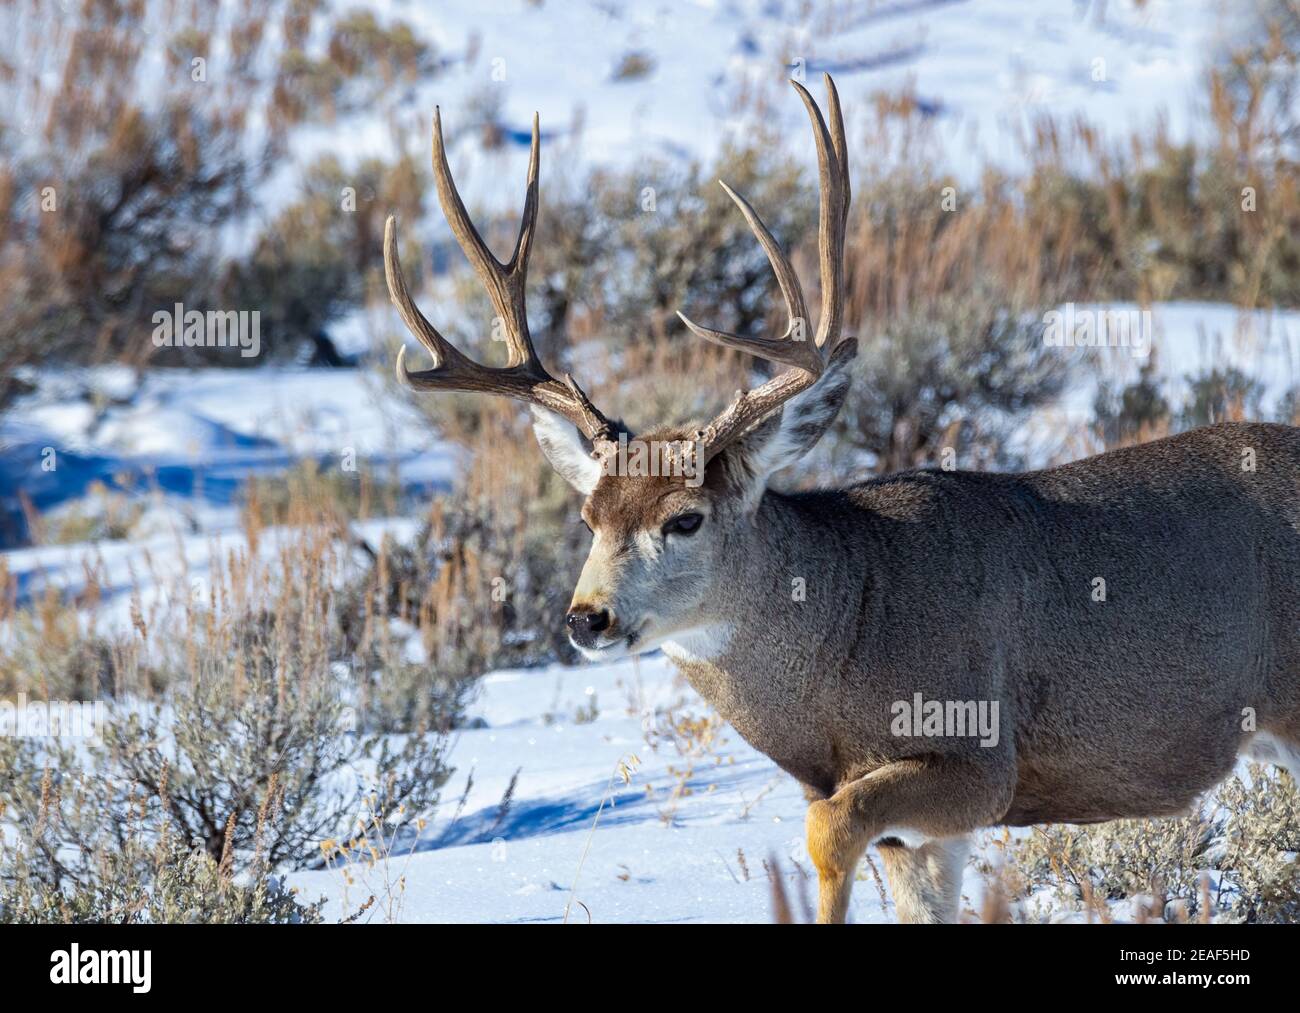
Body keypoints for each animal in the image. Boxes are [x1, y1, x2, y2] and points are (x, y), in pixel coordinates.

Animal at [384, 76, 1300, 923]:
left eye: (686, 517)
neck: (850, 630)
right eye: (588, 517)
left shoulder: (979, 753)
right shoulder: (919, 829)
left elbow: (828, 829)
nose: (587, 617)